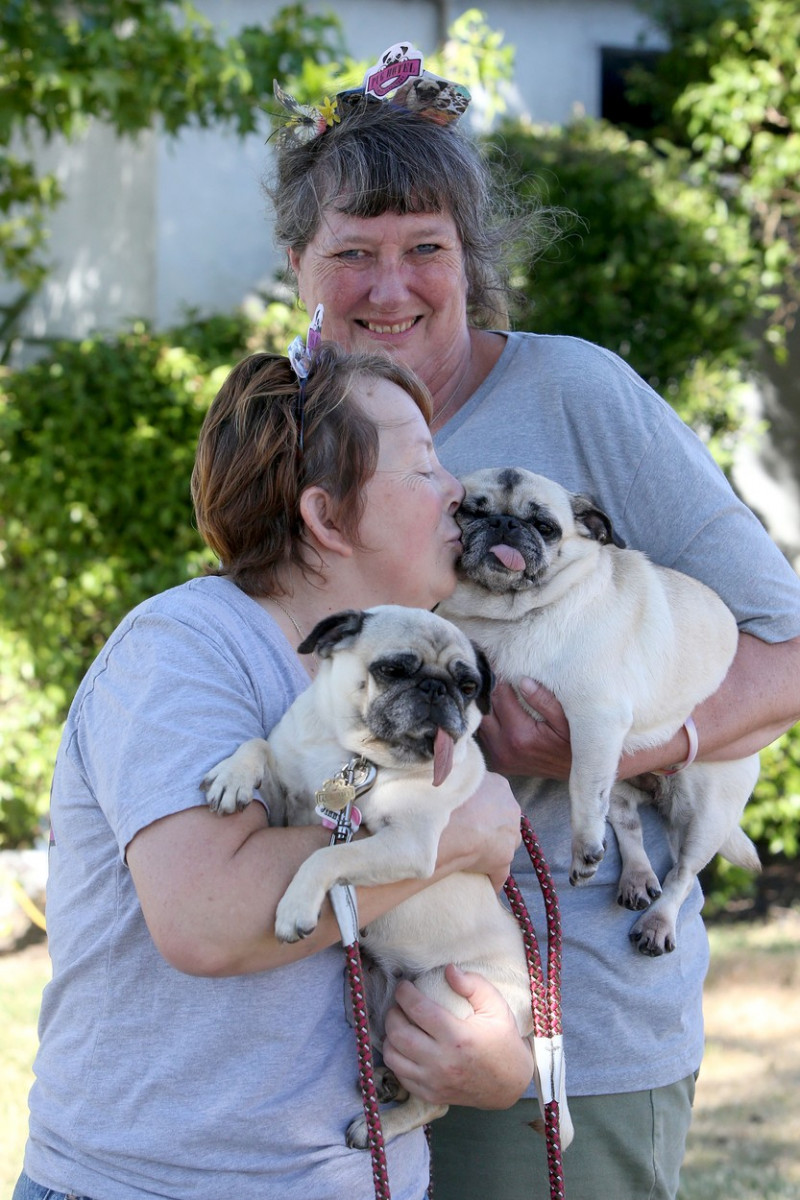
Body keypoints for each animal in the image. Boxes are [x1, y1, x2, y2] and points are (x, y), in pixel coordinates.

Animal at [203, 609, 573, 1152]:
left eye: (468, 686)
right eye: (395, 670)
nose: (437, 689)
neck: (354, 758)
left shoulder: (406, 844)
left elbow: (326, 857)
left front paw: (295, 906)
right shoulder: (288, 802)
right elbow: (260, 747)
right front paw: (232, 774)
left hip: (440, 989)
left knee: (435, 1103)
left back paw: (378, 1125)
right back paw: (383, 1082)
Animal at [441, 465, 762, 955]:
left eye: (545, 526)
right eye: (471, 512)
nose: (504, 524)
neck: (509, 616)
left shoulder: (594, 719)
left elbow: (581, 789)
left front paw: (583, 848)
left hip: (708, 811)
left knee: (683, 873)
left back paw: (657, 921)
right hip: (623, 773)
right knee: (628, 823)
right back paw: (636, 878)